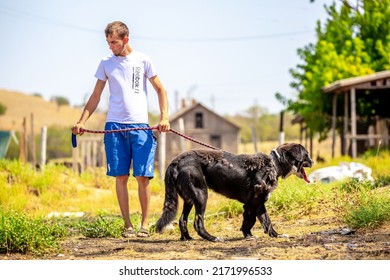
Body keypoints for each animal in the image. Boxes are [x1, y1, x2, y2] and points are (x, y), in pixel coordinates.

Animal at [155, 143, 314, 242]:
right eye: (306, 155)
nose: (313, 161)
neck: (273, 165)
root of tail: (176, 161)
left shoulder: (253, 205)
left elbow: (260, 222)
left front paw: (270, 235)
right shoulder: (256, 203)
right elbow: (260, 221)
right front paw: (254, 235)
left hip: (189, 199)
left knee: (182, 219)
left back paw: (186, 238)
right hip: (201, 195)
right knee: (197, 222)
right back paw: (213, 238)